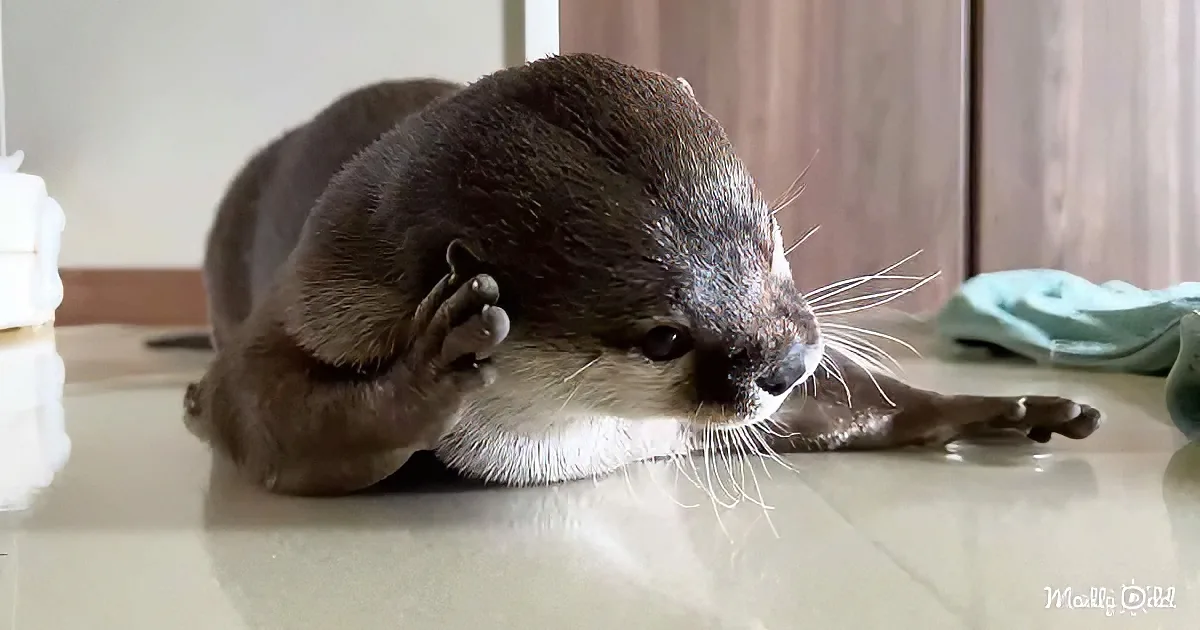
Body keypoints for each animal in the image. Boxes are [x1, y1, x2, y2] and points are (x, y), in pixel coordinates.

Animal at [182, 53, 1101, 496]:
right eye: (663, 337)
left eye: (770, 240)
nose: (785, 363)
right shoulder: (318, 297)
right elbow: (248, 411)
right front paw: (430, 365)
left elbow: (860, 402)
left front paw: (1006, 407)